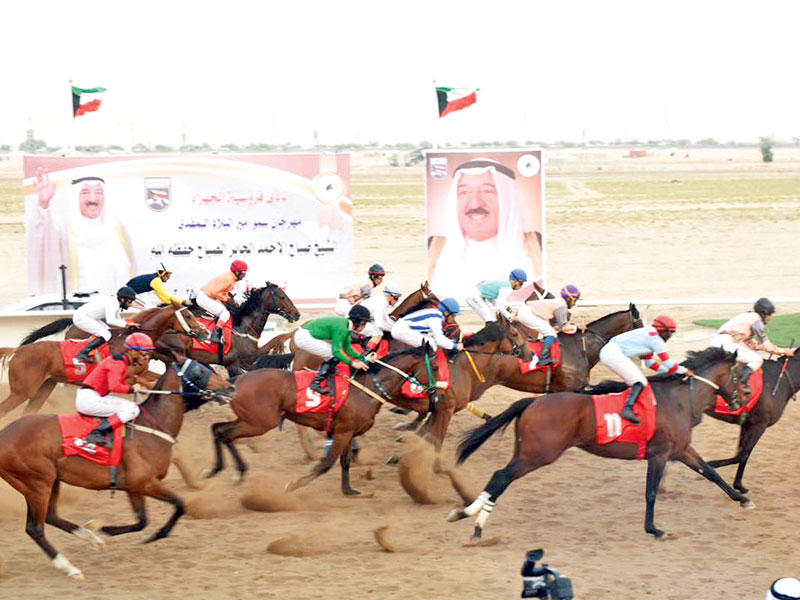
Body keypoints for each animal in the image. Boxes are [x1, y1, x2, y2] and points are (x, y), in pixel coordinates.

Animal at [0, 305, 208, 419]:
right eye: (188, 316)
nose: (204, 332)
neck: (129, 340)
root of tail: (17, 350)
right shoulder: (125, 377)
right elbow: (148, 383)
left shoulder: (141, 372)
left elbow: (155, 377)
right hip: (22, 391)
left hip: (43, 388)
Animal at [0, 357, 234, 580]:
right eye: (199, 371)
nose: (231, 387)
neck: (151, 428)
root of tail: (4, 435)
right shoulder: (145, 483)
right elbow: (179, 505)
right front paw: (116, 530)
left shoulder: (134, 487)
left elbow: (142, 520)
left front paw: (104, 529)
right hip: (37, 483)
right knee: (35, 528)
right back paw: (70, 567)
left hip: (52, 480)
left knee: (50, 516)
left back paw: (91, 538)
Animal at [449, 347, 751, 540]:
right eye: (740, 375)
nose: (745, 400)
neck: (680, 400)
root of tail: (532, 402)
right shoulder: (659, 454)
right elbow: (651, 492)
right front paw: (654, 529)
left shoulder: (682, 450)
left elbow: (710, 473)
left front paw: (742, 500)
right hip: (539, 454)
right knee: (501, 477)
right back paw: (471, 519)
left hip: (527, 451)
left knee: (500, 478)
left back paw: (471, 518)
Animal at [705, 348, 800, 493]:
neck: (781, 381)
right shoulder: (759, 425)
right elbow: (742, 455)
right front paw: (711, 464)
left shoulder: (747, 425)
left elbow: (743, 454)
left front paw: (739, 485)